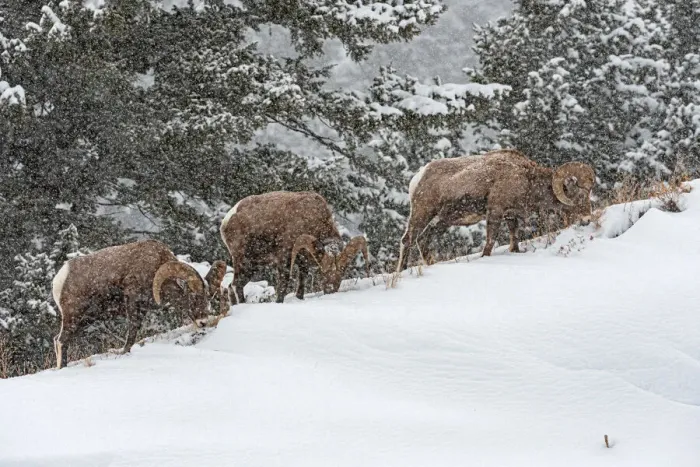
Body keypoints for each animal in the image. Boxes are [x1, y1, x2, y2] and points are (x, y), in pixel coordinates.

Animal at [52, 239, 220, 369]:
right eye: (193, 297)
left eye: (207, 299)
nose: (203, 322)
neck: (154, 266)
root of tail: (59, 278)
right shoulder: (133, 301)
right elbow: (132, 330)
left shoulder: (142, 308)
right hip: (73, 316)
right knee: (61, 341)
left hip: (85, 319)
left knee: (57, 339)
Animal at [220, 191, 370, 304]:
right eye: (322, 272)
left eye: (342, 272)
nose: (330, 289)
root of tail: (227, 219)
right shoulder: (284, 260)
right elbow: (283, 285)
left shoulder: (303, 264)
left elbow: (301, 285)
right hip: (244, 262)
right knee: (236, 285)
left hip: (253, 266)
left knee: (231, 286)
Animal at [397, 149, 596, 271]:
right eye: (578, 195)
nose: (587, 220)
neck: (527, 179)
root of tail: (418, 177)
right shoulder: (495, 212)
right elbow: (490, 242)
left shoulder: (511, 216)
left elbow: (514, 238)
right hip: (422, 213)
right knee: (409, 240)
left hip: (441, 221)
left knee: (421, 240)